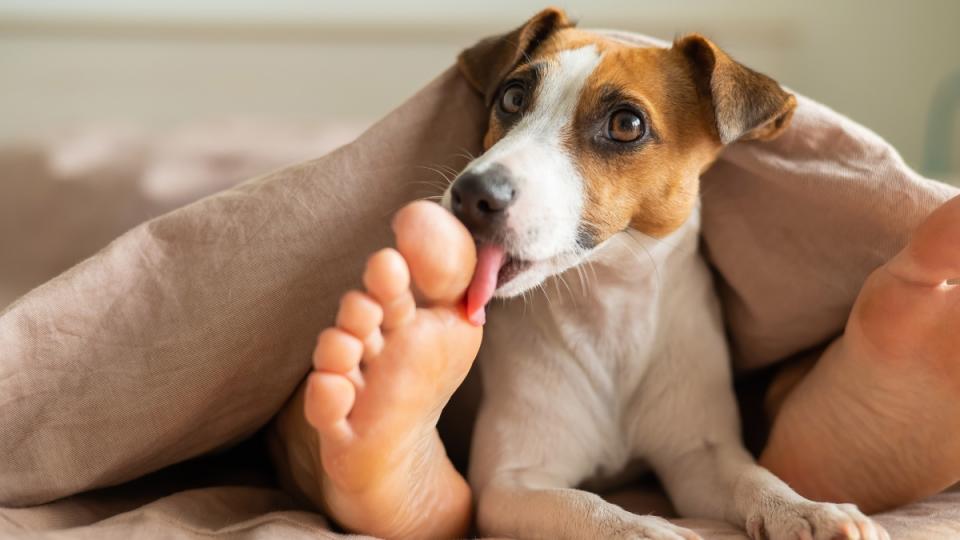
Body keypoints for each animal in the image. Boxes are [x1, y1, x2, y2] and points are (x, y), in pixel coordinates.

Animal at [442, 8, 884, 540]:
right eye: (512, 97)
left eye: (626, 124)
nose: (472, 193)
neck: (608, 310)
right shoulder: (507, 486)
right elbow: (585, 505)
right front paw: (643, 528)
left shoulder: (699, 457)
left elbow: (755, 478)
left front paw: (806, 509)